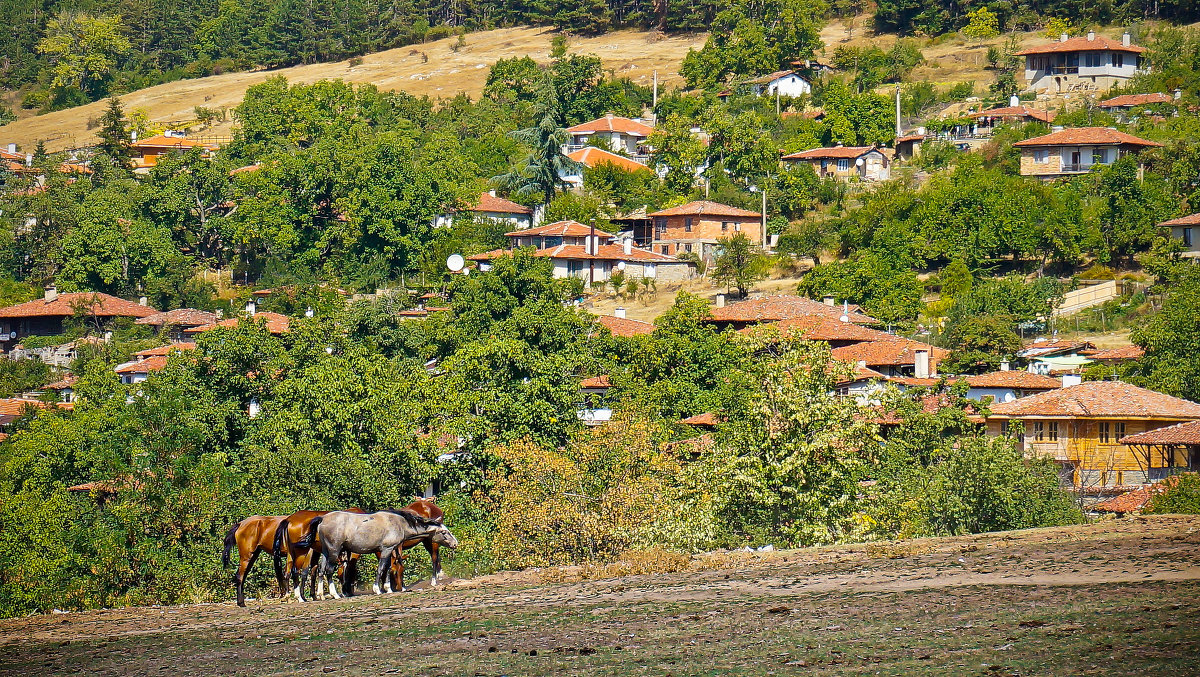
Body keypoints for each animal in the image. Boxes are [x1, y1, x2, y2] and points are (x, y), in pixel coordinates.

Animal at [307, 511, 456, 600]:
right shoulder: (386, 550)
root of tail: (322, 519)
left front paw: (388, 588)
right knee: (329, 571)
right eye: (444, 532)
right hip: (334, 551)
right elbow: (381, 569)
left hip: (326, 552)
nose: (455, 543)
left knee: (321, 570)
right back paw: (335, 594)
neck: (398, 523)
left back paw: (321, 595)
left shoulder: (390, 551)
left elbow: (388, 568)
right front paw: (377, 589)